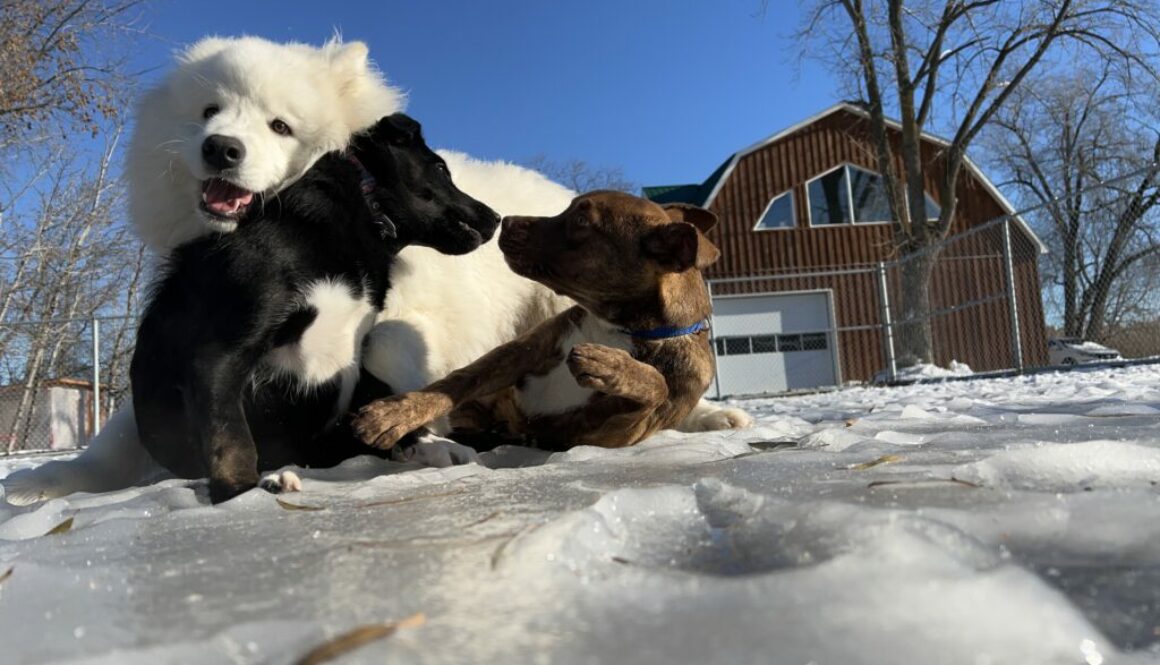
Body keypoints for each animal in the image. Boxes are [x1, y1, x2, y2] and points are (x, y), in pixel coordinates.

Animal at [132, 114, 498, 501]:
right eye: (441, 168)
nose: (495, 216)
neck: (366, 210)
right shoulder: (221, 351)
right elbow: (231, 440)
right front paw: (241, 493)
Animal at [348, 191, 719, 450]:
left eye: (581, 222)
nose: (507, 220)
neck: (622, 327)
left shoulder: (614, 431)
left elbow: (656, 385)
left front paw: (611, 365)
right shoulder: (523, 350)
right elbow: (454, 383)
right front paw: (395, 414)